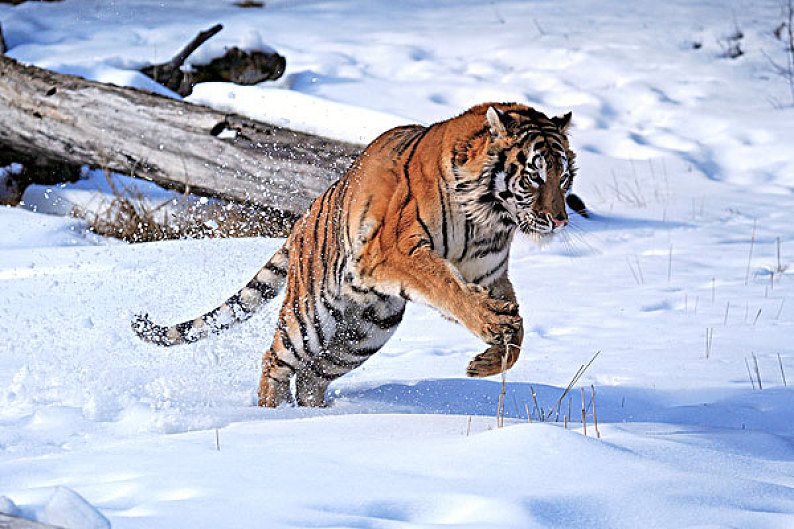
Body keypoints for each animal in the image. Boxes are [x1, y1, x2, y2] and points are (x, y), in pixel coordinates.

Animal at [131, 104, 576, 408]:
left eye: (564, 177)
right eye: (534, 176)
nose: (559, 219)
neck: (489, 217)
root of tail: (304, 217)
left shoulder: (489, 275)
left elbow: (519, 331)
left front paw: (488, 362)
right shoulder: (396, 250)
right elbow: (446, 284)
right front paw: (489, 324)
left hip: (367, 331)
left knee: (312, 376)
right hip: (309, 316)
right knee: (274, 359)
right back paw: (269, 415)